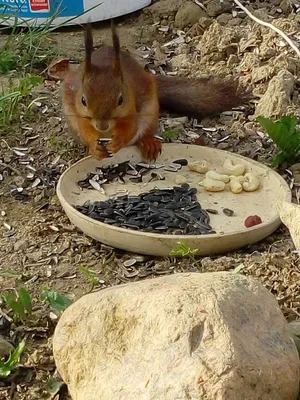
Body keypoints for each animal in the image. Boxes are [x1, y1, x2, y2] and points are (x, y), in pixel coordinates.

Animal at [48, 21, 251, 162]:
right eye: (83, 100)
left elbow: (130, 129)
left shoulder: (133, 108)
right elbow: (86, 130)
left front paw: (118, 142)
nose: (102, 126)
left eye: (120, 99)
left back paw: (148, 143)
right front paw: (94, 147)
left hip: (150, 110)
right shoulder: (78, 114)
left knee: (143, 133)